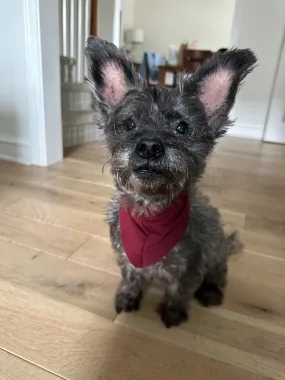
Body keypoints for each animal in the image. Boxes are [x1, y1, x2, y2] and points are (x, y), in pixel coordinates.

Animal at [84, 39, 255, 330]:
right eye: (129, 124)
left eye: (182, 127)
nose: (149, 147)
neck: (150, 212)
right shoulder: (127, 257)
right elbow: (131, 277)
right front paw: (128, 296)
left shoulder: (191, 265)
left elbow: (179, 289)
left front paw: (173, 311)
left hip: (216, 249)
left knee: (219, 271)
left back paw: (211, 291)